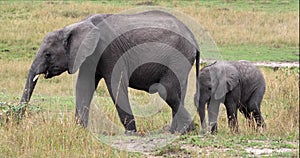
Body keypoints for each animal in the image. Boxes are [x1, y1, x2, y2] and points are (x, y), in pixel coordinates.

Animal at [20, 10, 199, 135]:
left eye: (48, 54)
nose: (17, 121)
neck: (75, 26)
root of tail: (194, 38)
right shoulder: (89, 56)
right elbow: (84, 86)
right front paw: (79, 130)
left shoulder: (110, 50)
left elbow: (116, 84)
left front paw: (130, 133)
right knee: (177, 92)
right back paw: (177, 131)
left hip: (178, 56)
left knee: (167, 90)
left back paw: (185, 129)